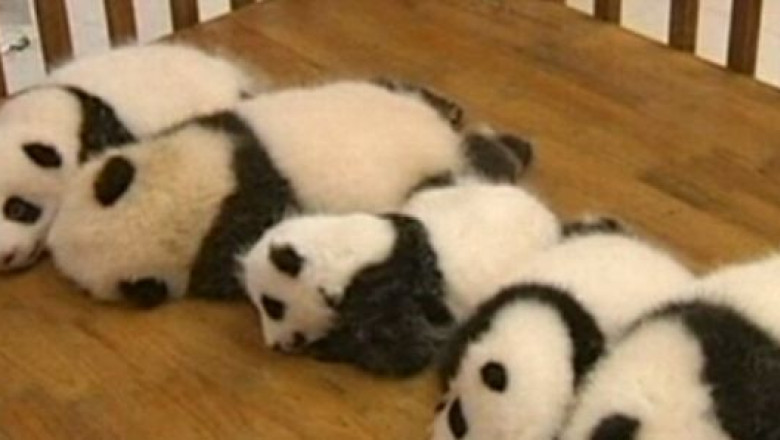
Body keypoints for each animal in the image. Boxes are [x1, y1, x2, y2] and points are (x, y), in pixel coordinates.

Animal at [240, 180, 561, 376]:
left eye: (272, 306)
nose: (274, 345)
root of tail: (548, 218)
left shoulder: (398, 300)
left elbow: (400, 355)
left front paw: (329, 347)